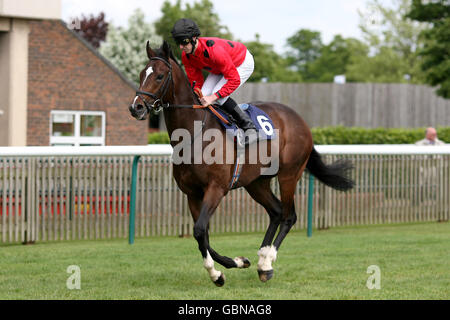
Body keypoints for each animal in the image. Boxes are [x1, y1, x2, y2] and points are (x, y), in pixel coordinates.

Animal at [128, 41, 354, 286]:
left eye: (160, 76)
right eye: (141, 74)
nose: (136, 107)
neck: (194, 133)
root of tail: (300, 120)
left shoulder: (216, 188)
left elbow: (199, 230)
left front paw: (219, 272)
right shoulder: (192, 193)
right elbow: (202, 234)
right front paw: (233, 264)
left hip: (289, 174)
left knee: (288, 216)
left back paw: (267, 262)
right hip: (256, 182)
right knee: (275, 212)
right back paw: (262, 261)